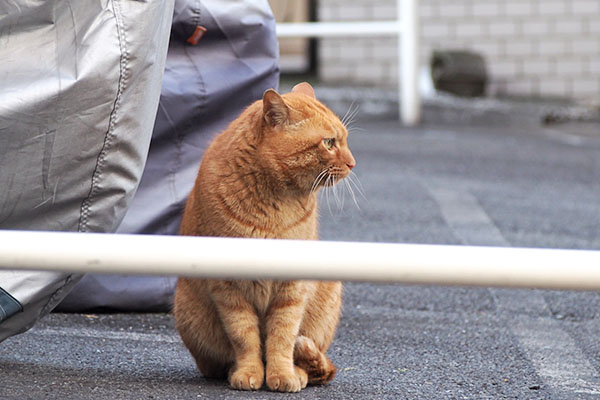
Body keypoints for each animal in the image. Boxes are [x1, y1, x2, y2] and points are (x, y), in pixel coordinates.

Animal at [173, 83, 354, 392]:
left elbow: (282, 336)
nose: (353, 163)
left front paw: (282, 375)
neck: (274, 200)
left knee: (314, 360)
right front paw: (249, 372)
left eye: (343, 140)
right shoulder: (228, 288)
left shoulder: (292, 289)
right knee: (215, 364)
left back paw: (299, 371)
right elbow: (244, 336)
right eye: (329, 143)